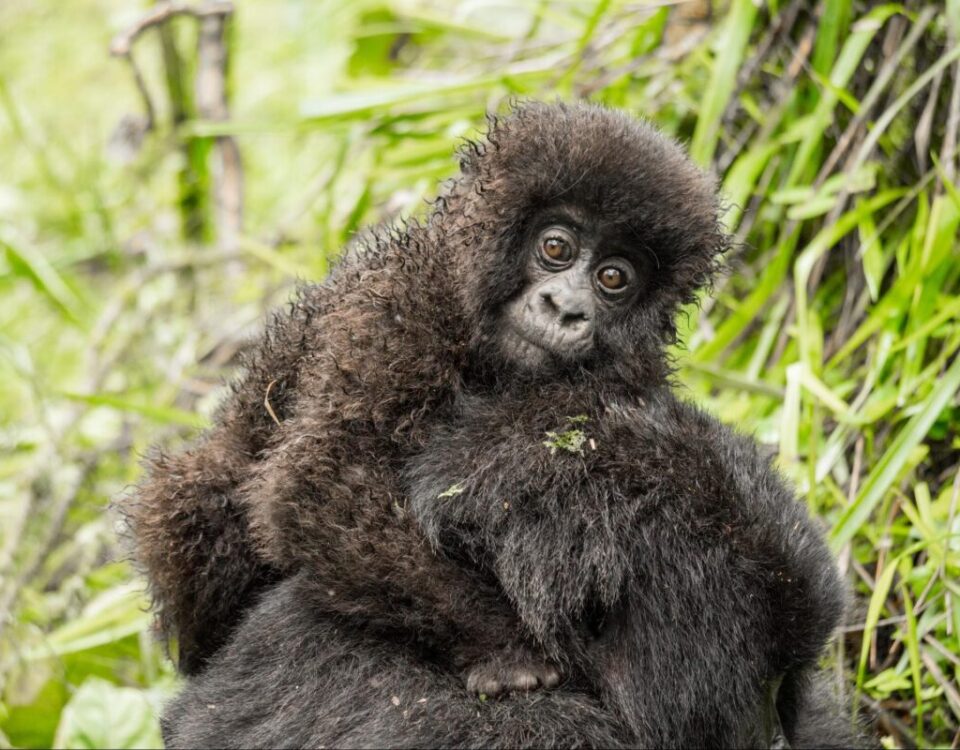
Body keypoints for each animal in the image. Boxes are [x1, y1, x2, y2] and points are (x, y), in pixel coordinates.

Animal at [129, 101, 859, 747]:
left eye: (614, 278)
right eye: (556, 247)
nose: (566, 308)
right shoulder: (399, 310)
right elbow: (323, 486)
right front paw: (509, 653)